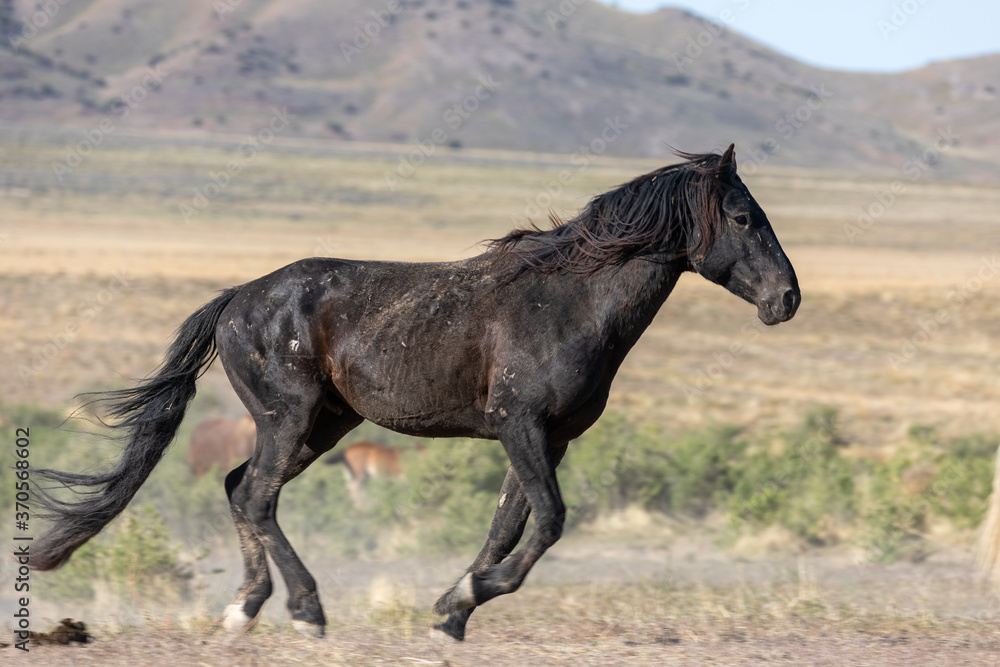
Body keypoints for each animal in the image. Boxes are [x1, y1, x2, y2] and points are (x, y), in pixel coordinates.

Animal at [30, 145, 800, 641]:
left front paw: (452, 611)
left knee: (237, 488)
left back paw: (244, 610)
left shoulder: (548, 438)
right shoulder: (520, 425)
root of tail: (237, 299)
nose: (787, 299)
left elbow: (507, 526)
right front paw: (463, 598)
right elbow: (549, 521)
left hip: (324, 427)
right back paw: (304, 612)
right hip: (291, 417)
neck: (569, 301)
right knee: (255, 495)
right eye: (742, 217)